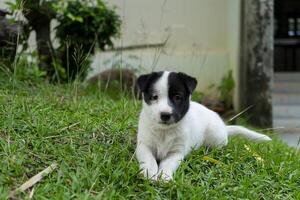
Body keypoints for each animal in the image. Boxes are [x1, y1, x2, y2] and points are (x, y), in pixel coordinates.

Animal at [136, 70, 272, 181]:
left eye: (177, 97)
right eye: (154, 97)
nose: (165, 115)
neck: (164, 131)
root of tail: (224, 127)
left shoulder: (176, 152)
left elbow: (167, 164)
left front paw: (164, 176)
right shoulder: (143, 146)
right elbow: (149, 160)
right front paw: (150, 174)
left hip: (216, 138)